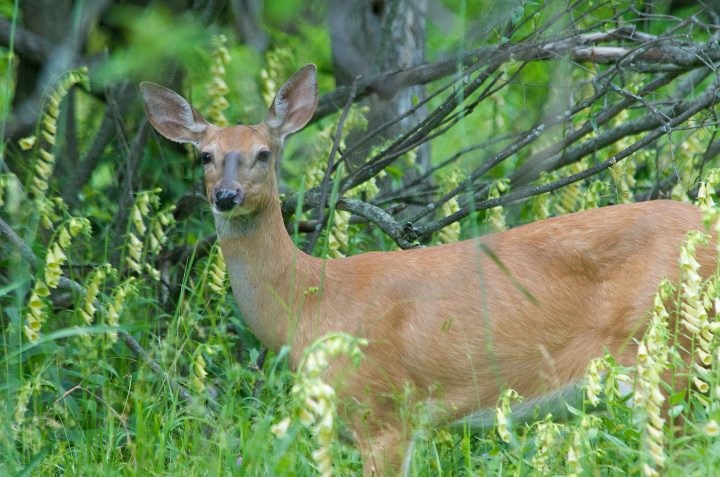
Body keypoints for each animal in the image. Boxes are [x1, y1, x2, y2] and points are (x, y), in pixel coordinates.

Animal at [141, 64, 716, 476]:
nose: (226, 196)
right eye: (204, 155)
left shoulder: (383, 411)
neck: (310, 301)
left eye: (264, 153)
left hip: (668, 353)